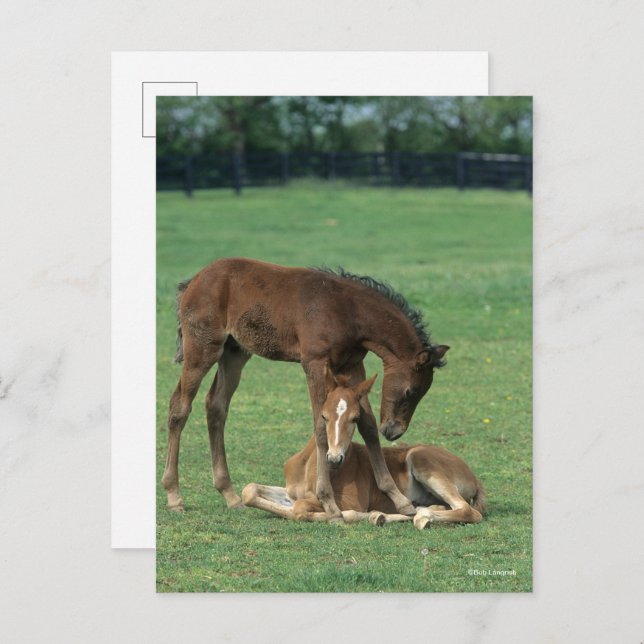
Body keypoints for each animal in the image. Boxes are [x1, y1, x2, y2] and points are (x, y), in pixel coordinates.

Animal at [161, 257, 449, 520]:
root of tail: (193, 282)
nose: (394, 431)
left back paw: (230, 495)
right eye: (411, 391)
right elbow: (321, 426)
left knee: (216, 406)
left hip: (234, 353)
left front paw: (400, 500)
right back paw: (174, 496)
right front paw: (329, 504)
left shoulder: (353, 367)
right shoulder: (314, 363)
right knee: (180, 406)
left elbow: (367, 426)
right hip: (203, 348)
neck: (348, 311)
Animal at [241, 368, 485, 529]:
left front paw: (347, 516)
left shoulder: (350, 501)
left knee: (468, 510)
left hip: (420, 459)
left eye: (355, 418)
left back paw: (418, 517)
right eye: (324, 415)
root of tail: (474, 477)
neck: (309, 466)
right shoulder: (291, 492)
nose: (334, 459)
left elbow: (301, 509)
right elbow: (250, 491)